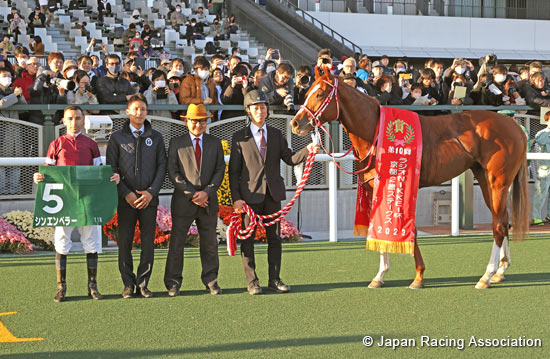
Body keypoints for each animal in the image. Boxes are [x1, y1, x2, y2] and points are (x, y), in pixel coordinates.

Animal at [292, 71, 532, 292]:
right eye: (307, 91)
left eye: (320, 94)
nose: (295, 123)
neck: (376, 131)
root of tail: (515, 128)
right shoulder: (379, 188)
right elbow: (379, 226)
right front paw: (379, 276)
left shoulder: (403, 184)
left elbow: (410, 231)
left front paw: (418, 276)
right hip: (484, 179)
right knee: (502, 219)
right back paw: (501, 269)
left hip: (498, 182)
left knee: (498, 225)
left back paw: (487, 275)